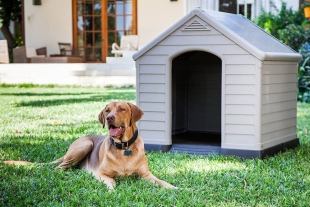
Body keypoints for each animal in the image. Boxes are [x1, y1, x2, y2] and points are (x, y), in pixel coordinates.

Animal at [6, 101, 176, 192]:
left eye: (122, 109)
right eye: (107, 110)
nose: (109, 118)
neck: (124, 148)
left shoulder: (146, 175)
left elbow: (162, 182)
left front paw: (176, 188)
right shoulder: (102, 173)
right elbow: (112, 181)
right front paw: (111, 190)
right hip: (84, 145)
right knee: (59, 168)